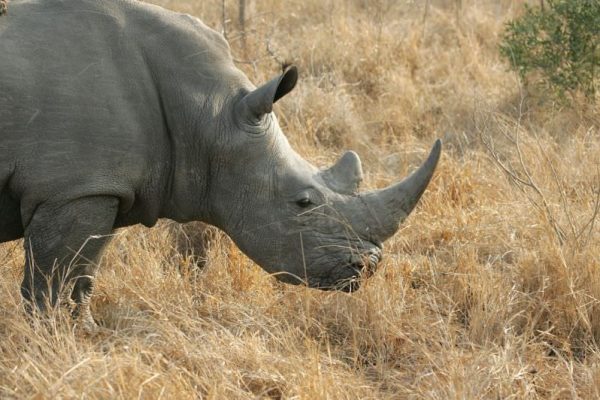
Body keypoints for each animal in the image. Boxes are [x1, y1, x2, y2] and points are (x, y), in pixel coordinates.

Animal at [0, 0, 440, 324]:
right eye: (303, 202)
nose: (369, 266)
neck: (210, 114)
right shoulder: (72, 189)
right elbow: (50, 281)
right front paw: (51, 340)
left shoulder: (106, 188)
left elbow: (84, 272)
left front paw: (86, 333)